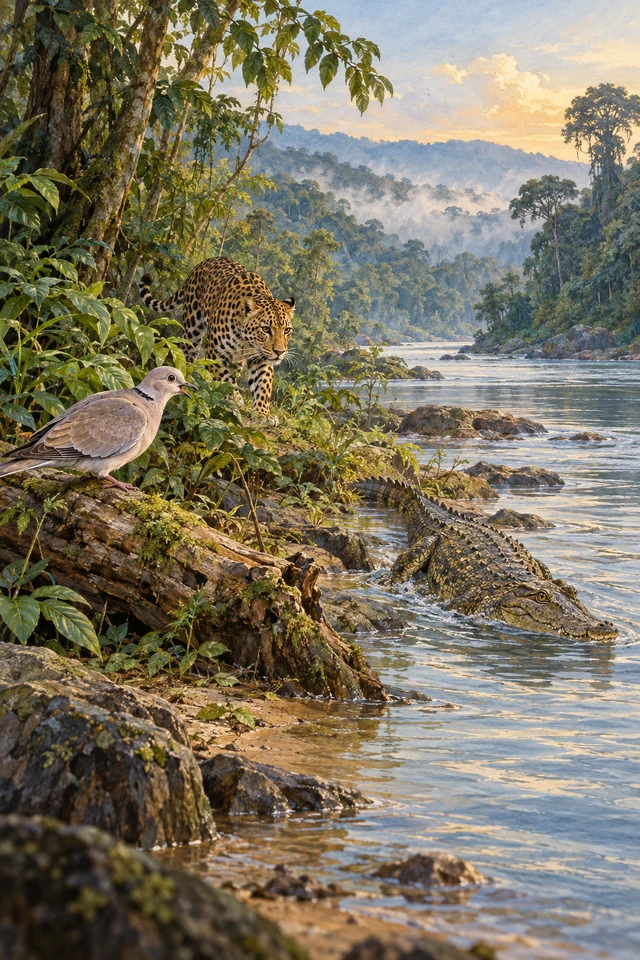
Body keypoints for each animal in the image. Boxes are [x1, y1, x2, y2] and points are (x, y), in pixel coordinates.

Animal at [139, 257, 295, 424]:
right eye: (266, 329)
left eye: (287, 330)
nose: (279, 352)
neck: (247, 340)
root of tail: (203, 263)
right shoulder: (216, 353)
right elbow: (224, 379)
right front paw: (230, 399)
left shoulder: (261, 359)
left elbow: (263, 385)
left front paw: (262, 413)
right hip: (192, 331)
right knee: (187, 358)